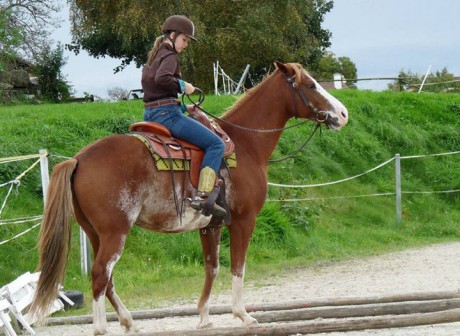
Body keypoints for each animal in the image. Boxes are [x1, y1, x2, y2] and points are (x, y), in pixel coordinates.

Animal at [28, 61, 346, 334]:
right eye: (311, 85)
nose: (342, 114)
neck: (244, 144)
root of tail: (78, 159)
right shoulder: (243, 220)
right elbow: (238, 267)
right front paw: (242, 315)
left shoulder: (210, 225)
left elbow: (212, 268)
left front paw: (204, 316)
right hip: (114, 233)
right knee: (99, 276)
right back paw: (101, 328)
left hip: (95, 233)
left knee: (107, 280)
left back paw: (129, 322)